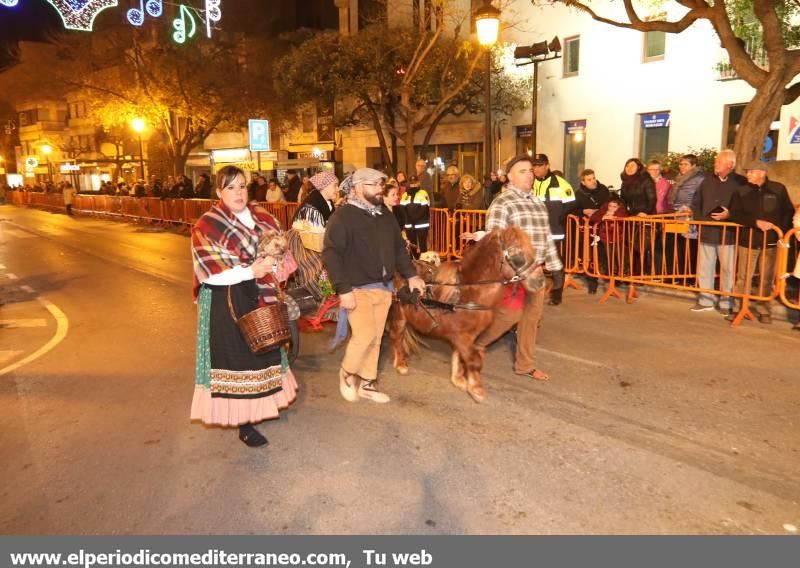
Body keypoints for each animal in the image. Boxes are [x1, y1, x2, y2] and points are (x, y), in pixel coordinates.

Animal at [390, 226, 548, 404]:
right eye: (517, 253)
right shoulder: (461, 336)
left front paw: (458, 379)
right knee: (396, 336)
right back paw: (400, 364)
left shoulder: (468, 336)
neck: (467, 291)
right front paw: (476, 389)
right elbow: (474, 360)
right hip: (399, 316)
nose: (540, 282)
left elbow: (461, 356)